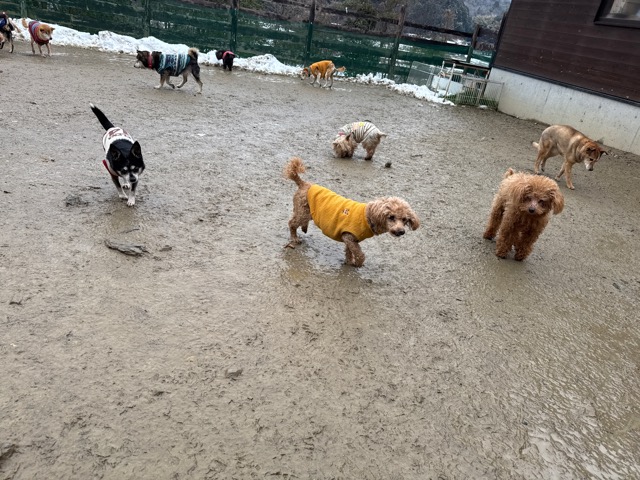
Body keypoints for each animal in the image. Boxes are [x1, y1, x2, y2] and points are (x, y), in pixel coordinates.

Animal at [284, 157, 419, 267]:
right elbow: (359, 253)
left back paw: (304, 228)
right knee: (292, 223)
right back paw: (295, 238)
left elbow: (349, 251)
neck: (367, 217)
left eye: (405, 220)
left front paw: (349, 261)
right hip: (302, 212)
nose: (401, 231)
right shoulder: (349, 236)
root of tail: (303, 183)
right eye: (391, 217)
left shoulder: (349, 238)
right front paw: (357, 263)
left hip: (306, 211)